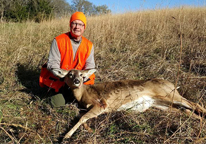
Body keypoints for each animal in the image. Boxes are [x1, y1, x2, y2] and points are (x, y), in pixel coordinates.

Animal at [57, 68, 206, 140]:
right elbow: (81, 116)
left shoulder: (101, 104)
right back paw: (200, 122)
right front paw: (89, 130)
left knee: (195, 104)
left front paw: (66, 136)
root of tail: (172, 84)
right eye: (70, 74)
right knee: (186, 110)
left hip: (169, 95)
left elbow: (82, 117)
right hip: (162, 105)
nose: (77, 81)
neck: (83, 94)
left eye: (82, 75)